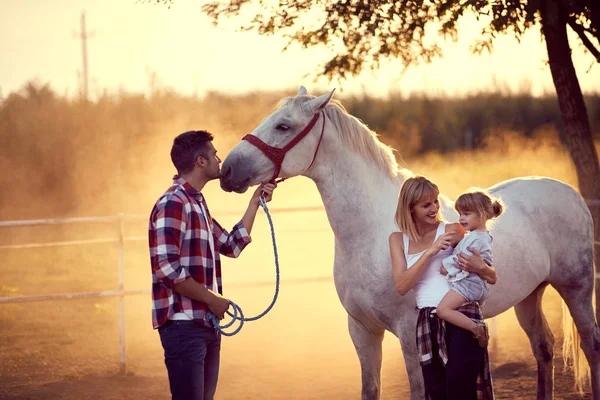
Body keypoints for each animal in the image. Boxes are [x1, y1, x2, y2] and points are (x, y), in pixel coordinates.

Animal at [219, 87, 600, 400]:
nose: (227, 171)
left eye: (283, 126)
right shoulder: (361, 330)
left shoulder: (408, 333)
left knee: (591, 344)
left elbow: (420, 391)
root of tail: (570, 193)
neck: (371, 231)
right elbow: (369, 388)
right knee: (544, 348)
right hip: (530, 295)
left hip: (576, 289)